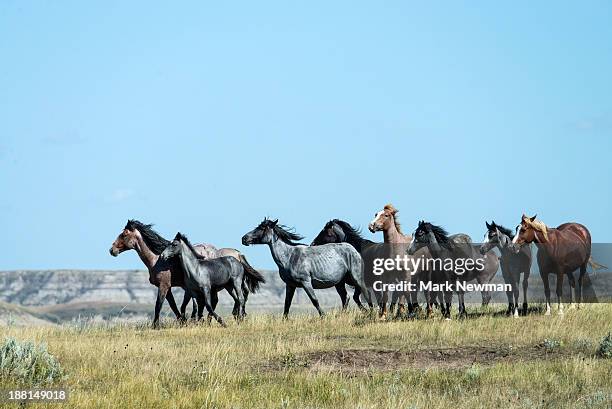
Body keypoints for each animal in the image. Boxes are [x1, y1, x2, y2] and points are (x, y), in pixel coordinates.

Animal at [109, 218, 260, 326]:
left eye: (123, 234)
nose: (112, 250)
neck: (157, 260)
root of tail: (238, 254)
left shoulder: (164, 286)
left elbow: (159, 305)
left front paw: (156, 325)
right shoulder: (171, 288)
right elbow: (174, 306)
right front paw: (183, 321)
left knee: (235, 298)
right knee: (231, 299)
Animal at [240, 218, 372, 318]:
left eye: (262, 228)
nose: (244, 239)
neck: (289, 256)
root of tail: (353, 249)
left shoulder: (306, 282)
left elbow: (314, 300)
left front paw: (323, 316)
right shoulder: (290, 285)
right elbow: (287, 303)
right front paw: (284, 319)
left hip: (356, 278)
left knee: (364, 292)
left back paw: (371, 312)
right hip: (339, 283)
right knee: (346, 298)